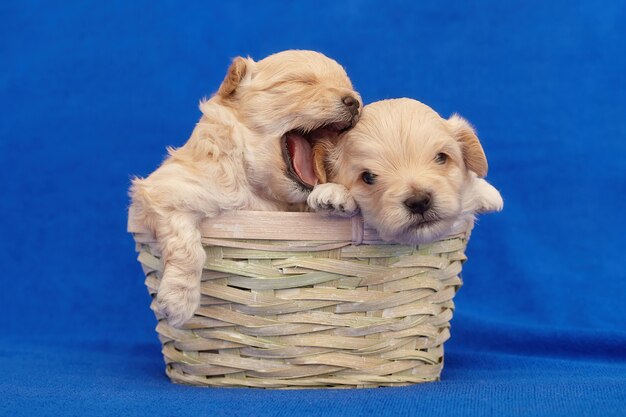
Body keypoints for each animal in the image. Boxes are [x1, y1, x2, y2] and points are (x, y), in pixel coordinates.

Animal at [129, 50, 358, 326]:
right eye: (301, 82)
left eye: (349, 87)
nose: (355, 102)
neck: (257, 189)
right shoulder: (166, 191)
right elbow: (187, 245)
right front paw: (178, 299)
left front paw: (336, 194)